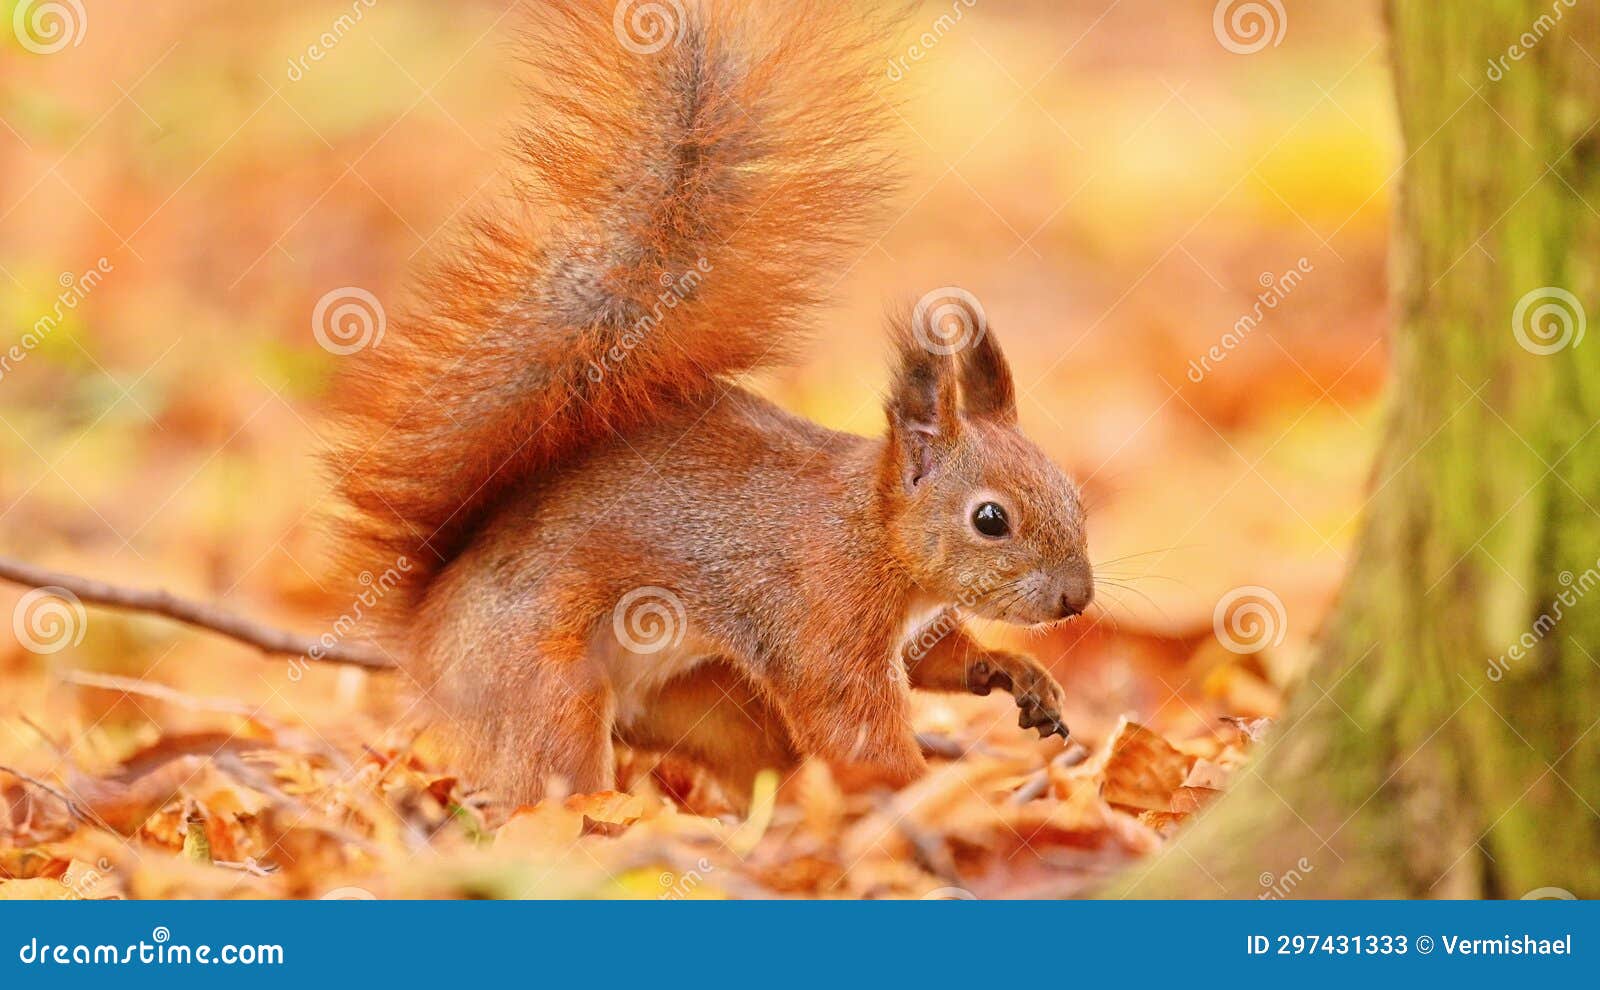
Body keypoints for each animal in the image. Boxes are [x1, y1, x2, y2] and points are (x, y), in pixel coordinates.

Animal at [325, 0, 1093, 806]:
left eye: (1075, 495)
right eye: (990, 519)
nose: (1077, 598)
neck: (874, 539)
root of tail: (426, 637)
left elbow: (932, 660)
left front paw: (1015, 673)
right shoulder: (819, 614)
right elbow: (850, 720)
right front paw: (923, 793)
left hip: (706, 700)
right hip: (542, 682)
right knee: (552, 774)